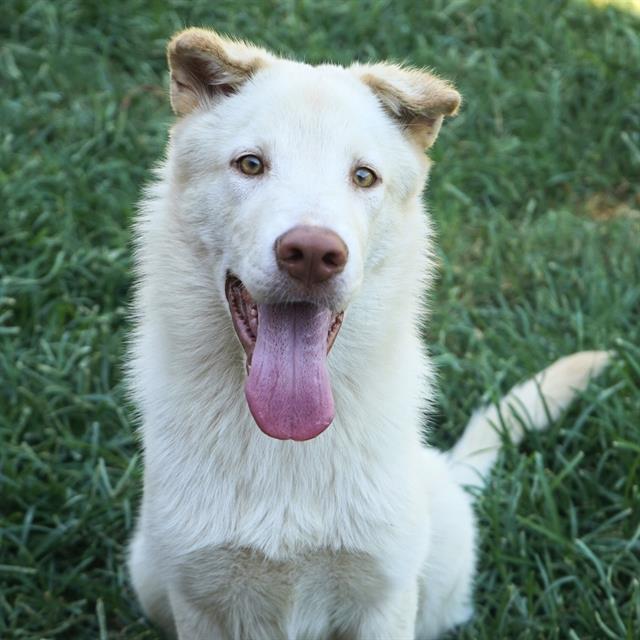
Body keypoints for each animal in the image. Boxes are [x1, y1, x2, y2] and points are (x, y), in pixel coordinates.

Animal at [126, 28, 608, 640]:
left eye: (363, 177)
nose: (312, 254)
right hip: (147, 570)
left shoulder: (384, 597)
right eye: (250, 164)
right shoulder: (201, 600)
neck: (287, 443)